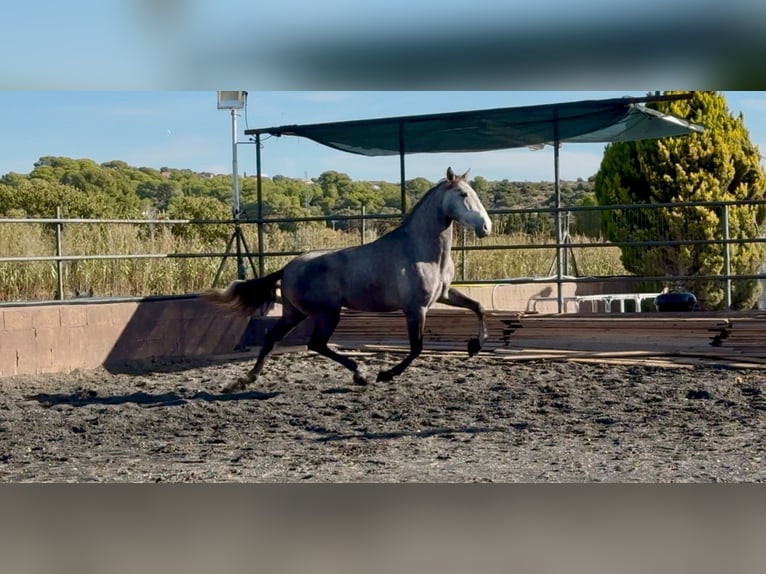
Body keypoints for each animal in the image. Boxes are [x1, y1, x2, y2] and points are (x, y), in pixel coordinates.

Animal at [204, 167, 492, 393]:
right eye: (463, 195)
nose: (486, 227)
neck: (421, 251)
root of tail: (287, 267)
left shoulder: (444, 295)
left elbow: (478, 307)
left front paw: (475, 345)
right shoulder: (415, 309)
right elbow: (416, 349)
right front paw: (385, 374)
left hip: (295, 313)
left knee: (273, 338)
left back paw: (243, 381)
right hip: (327, 313)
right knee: (316, 343)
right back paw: (359, 373)